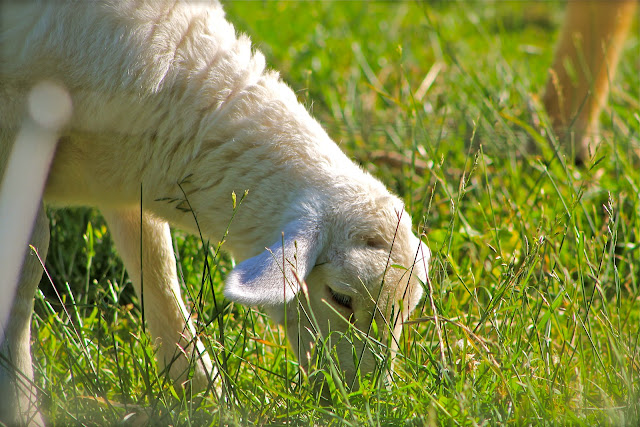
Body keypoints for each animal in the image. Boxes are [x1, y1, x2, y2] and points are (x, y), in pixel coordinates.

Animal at [0, 0, 428, 424]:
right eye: (341, 297)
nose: (362, 399)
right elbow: (25, 263)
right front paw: (22, 407)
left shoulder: (122, 172)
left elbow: (155, 261)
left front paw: (202, 390)